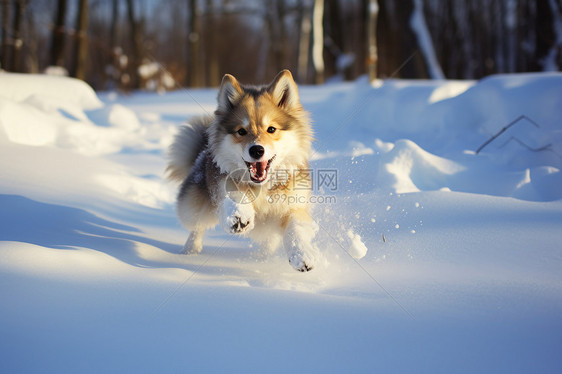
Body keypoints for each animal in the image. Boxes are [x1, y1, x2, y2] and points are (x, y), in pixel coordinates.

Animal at [166, 70, 318, 270]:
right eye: (241, 131)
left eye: (271, 129)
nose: (257, 150)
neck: (262, 187)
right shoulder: (223, 185)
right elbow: (235, 194)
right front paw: (240, 216)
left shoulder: (293, 206)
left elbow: (296, 230)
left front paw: (302, 255)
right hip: (193, 206)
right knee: (197, 226)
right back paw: (189, 252)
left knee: (269, 242)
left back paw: (263, 258)